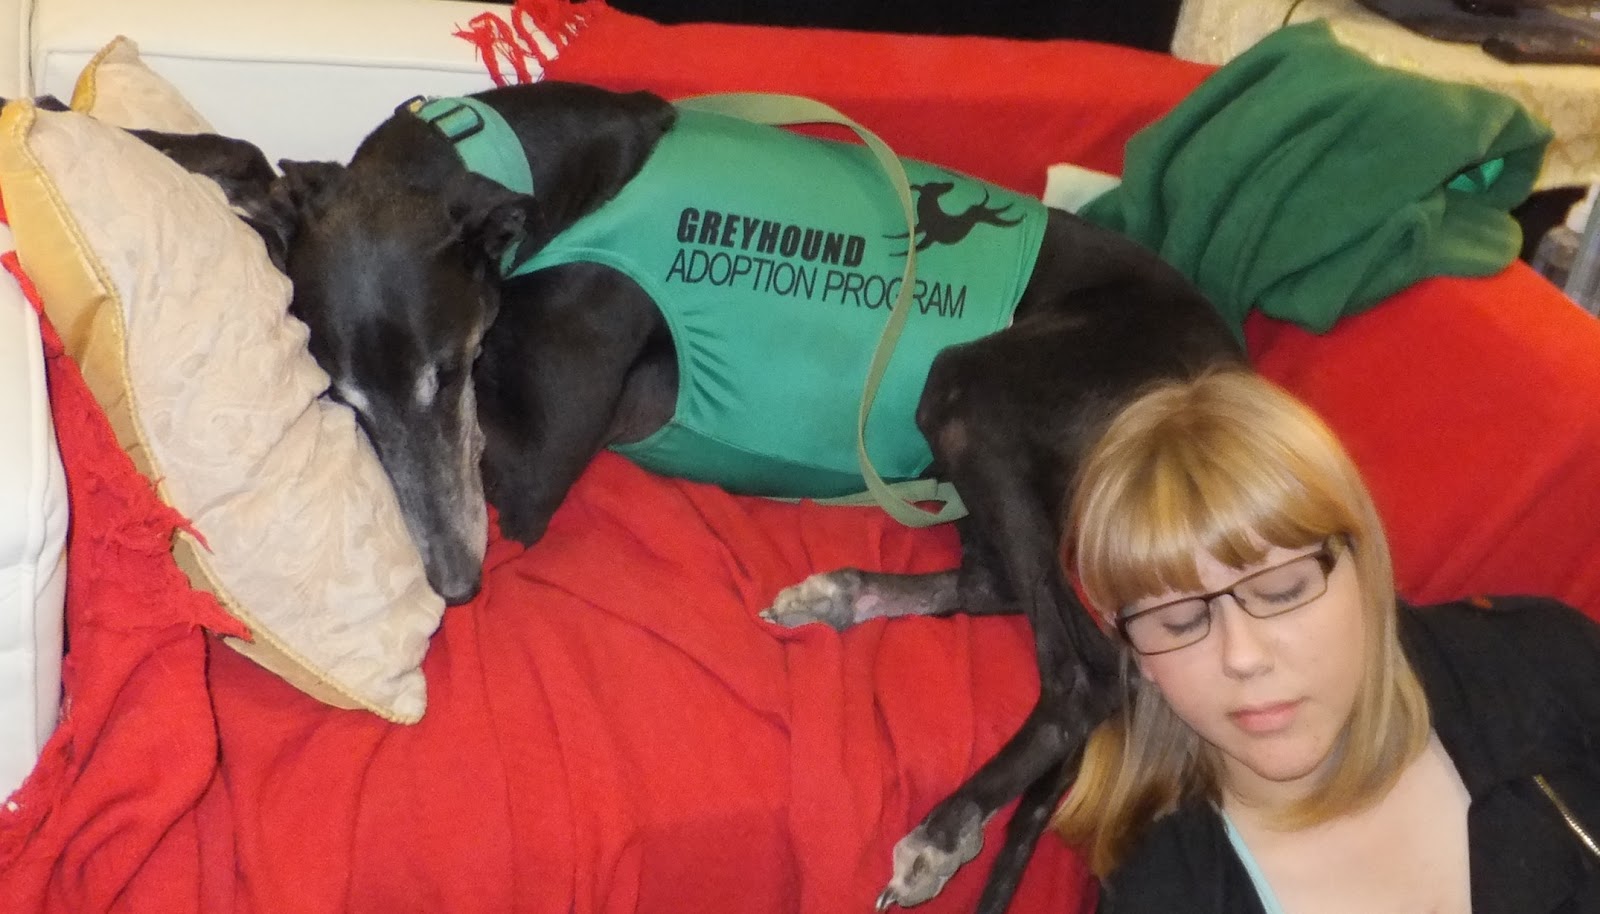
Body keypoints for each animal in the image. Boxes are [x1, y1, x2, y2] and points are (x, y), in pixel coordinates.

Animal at [249, 81, 1245, 913]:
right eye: (343, 397)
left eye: (450, 372)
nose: (456, 584)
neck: (539, 175)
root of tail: (1227, 372)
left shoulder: (530, 466)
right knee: (997, 583)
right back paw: (840, 595)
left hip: (975, 388)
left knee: (1087, 669)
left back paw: (943, 828)